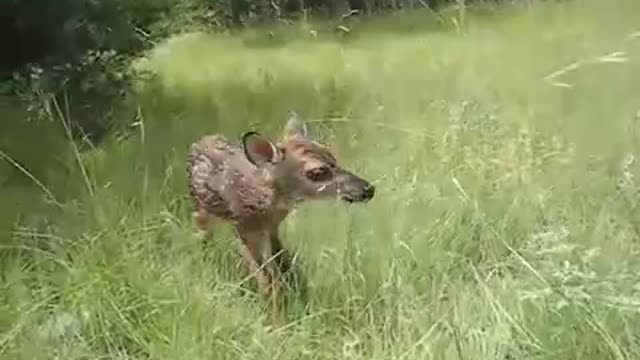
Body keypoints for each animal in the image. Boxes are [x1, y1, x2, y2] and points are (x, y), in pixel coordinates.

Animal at [185, 112, 376, 298]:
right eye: (317, 172)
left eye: (333, 158)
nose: (368, 188)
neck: (268, 202)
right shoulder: (244, 226)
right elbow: (264, 272)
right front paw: (274, 300)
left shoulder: (272, 226)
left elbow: (283, 258)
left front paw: (297, 287)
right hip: (201, 207)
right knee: (201, 233)